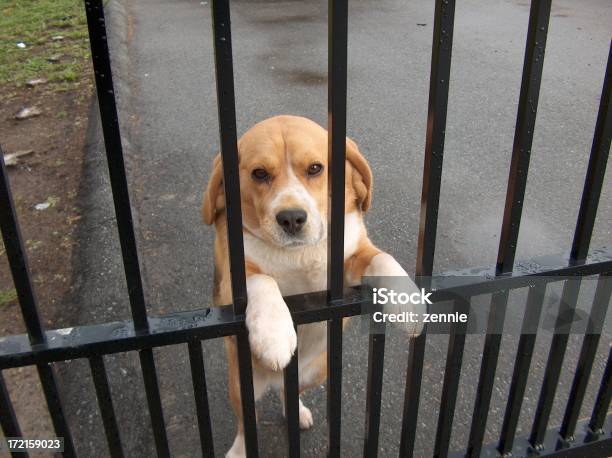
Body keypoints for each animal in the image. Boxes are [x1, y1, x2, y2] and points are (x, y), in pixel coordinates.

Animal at [201, 115, 420, 458]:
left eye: (316, 168)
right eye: (259, 174)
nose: (291, 218)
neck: (297, 254)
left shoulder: (349, 266)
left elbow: (382, 258)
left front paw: (409, 303)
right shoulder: (230, 286)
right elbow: (263, 279)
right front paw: (274, 334)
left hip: (318, 372)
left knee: (289, 393)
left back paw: (297, 411)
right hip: (240, 386)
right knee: (245, 424)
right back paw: (239, 449)